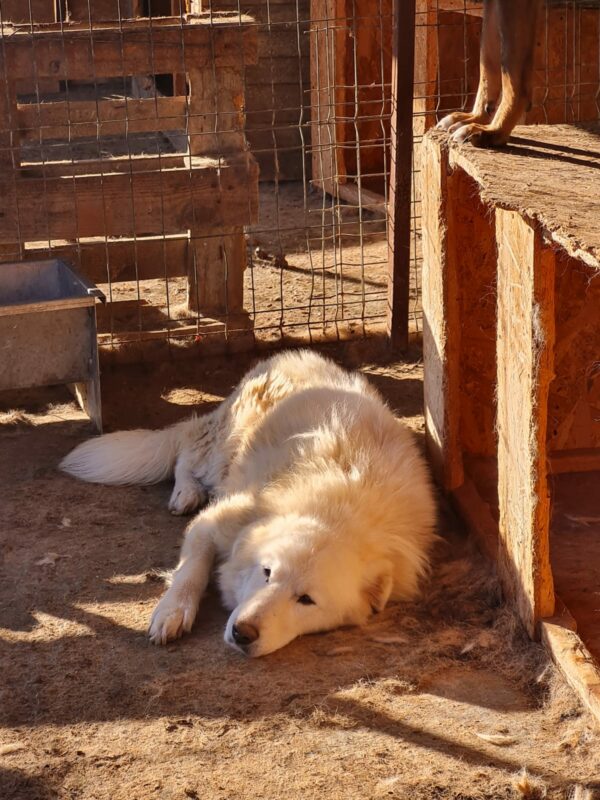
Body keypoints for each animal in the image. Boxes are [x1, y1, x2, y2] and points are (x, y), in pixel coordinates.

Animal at [61, 350, 436, 656]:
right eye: (267, 572)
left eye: (306, 600)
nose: (243, 633)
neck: (338, 509)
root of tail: (291, 355)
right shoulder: (214, 523)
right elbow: (190, 571)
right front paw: (172, 612)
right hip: (223, 448)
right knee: (185, 450)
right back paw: (186, 492)